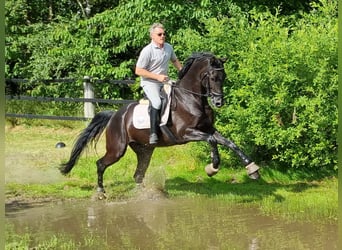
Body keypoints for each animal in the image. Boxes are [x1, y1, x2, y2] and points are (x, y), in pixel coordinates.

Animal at [60, 52, 260, 197]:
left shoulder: (207, 128)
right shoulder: (186, 133)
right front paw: (212, 168)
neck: (192, 99)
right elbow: (211, 140)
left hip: (144, 150)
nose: (219, 102)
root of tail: (115, 115)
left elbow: (229, 143)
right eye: (212, 77)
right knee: (101, 164)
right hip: (117, 149)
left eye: (223, 76)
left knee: (138, 174)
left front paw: (252, 170)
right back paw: (101, 191)